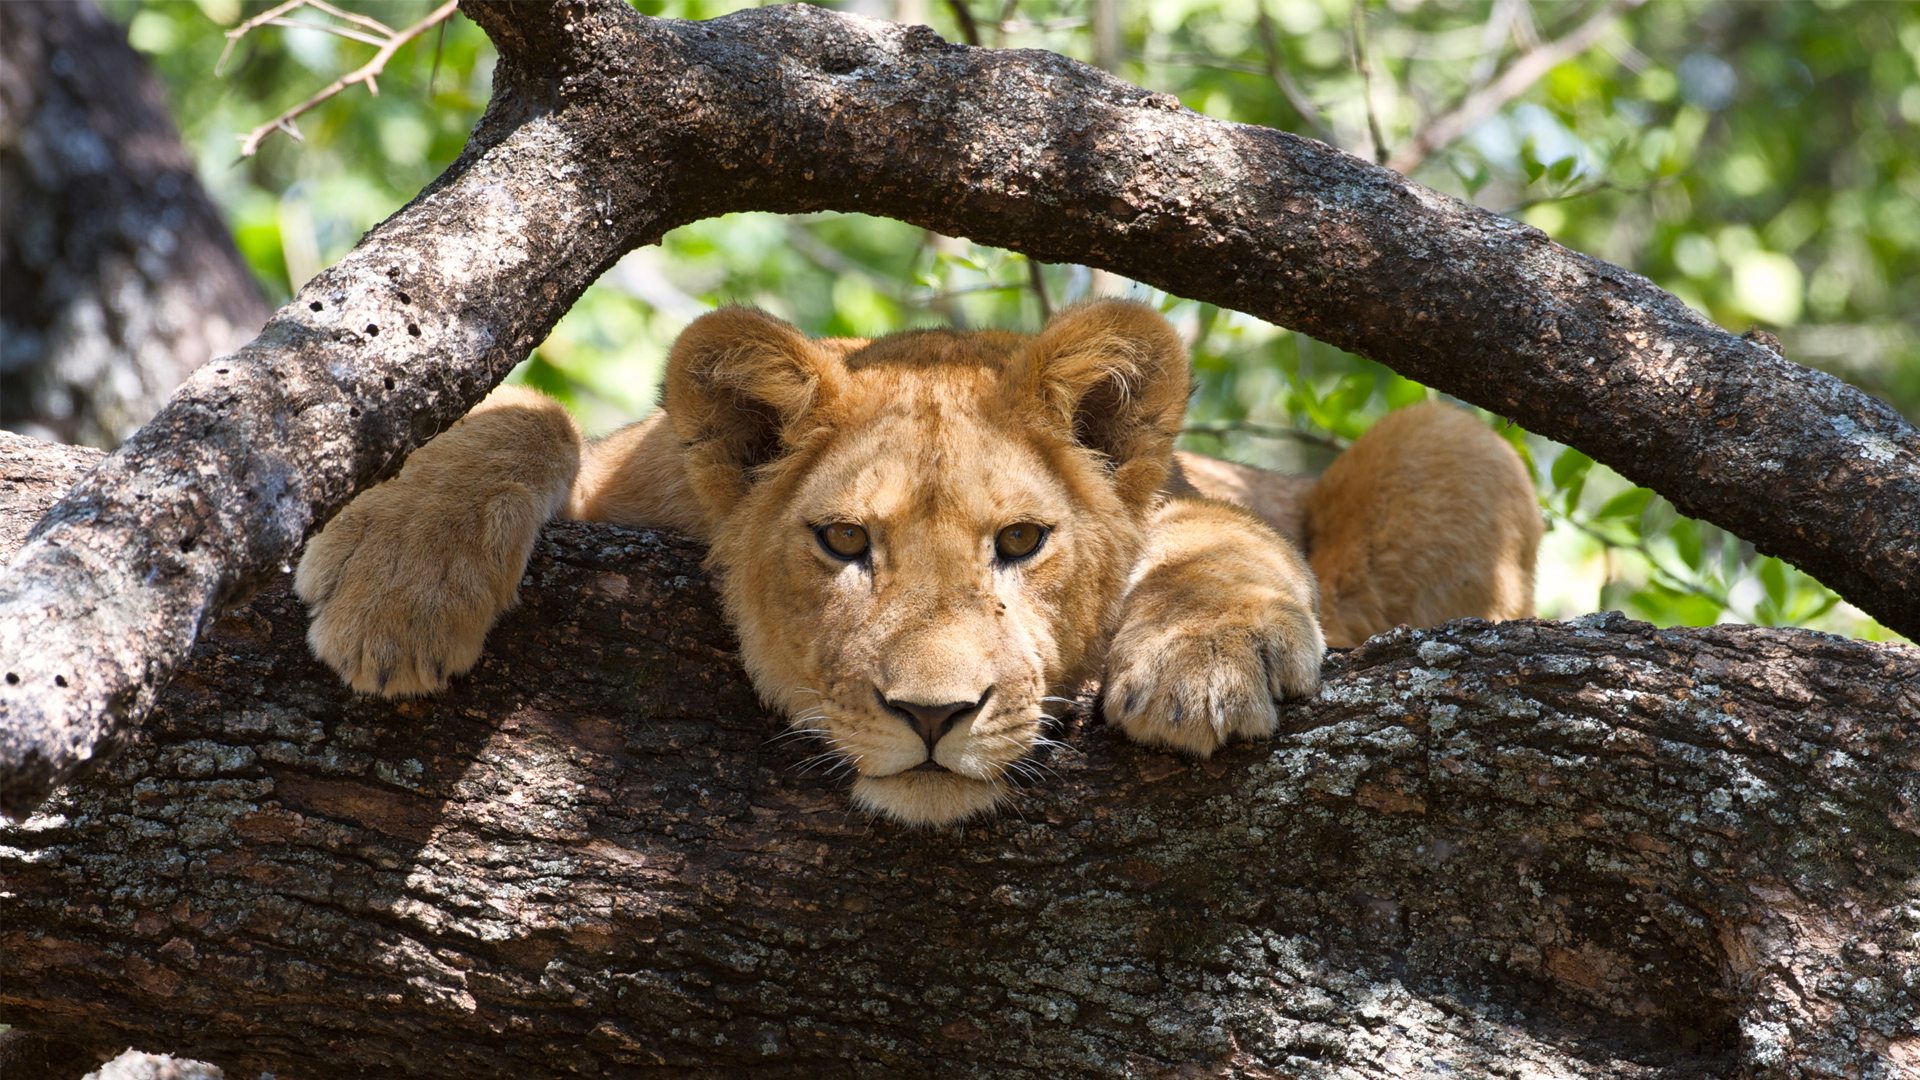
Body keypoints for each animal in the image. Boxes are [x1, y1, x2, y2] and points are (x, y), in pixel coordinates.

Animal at [291, 297, 1536, 818]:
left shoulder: (1194, 501)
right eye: (844, 542)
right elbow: (530, 412)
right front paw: (396, 586)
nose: (933, 717)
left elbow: (1216, 533)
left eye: (1023, 544)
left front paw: (1204, 662)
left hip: (1458, 440)